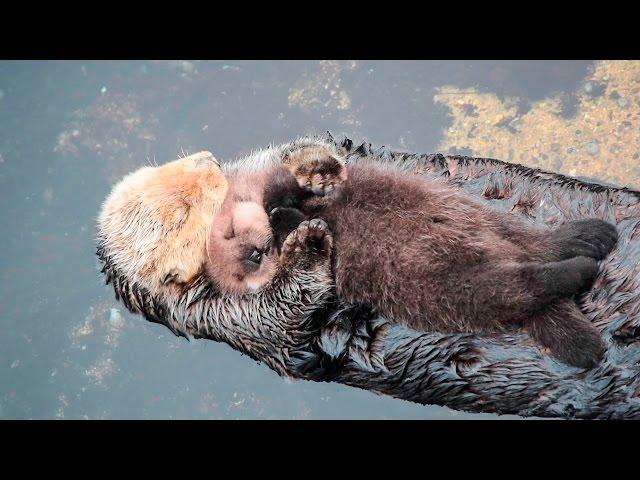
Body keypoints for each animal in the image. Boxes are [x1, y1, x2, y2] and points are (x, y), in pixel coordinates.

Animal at [204, 147, 616, 368]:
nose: (255, 251)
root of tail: (505, 251)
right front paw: (290, 221)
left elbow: (288, 192)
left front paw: (300, 193)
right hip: (457, 284)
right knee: (524, 285)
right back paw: (583, 267)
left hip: (470, 219)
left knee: (535, 246)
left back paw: (589, 238)